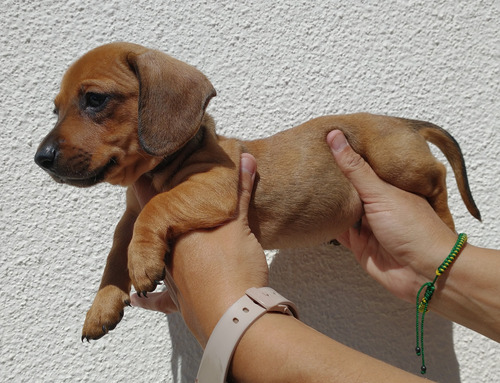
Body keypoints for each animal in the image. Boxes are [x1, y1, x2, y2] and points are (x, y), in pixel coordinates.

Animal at [34, 42, 480, 342]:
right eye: (55, 109)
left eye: (94, 99)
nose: (41, 158)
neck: (164, 166)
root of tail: (403, 122)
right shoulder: (128, 216)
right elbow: (115, 251)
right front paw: (103, 303)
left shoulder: (212, 186)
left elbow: (156, 207)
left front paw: (142, 262)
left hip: (396, 165)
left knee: (438, 177)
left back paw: (445, 224)